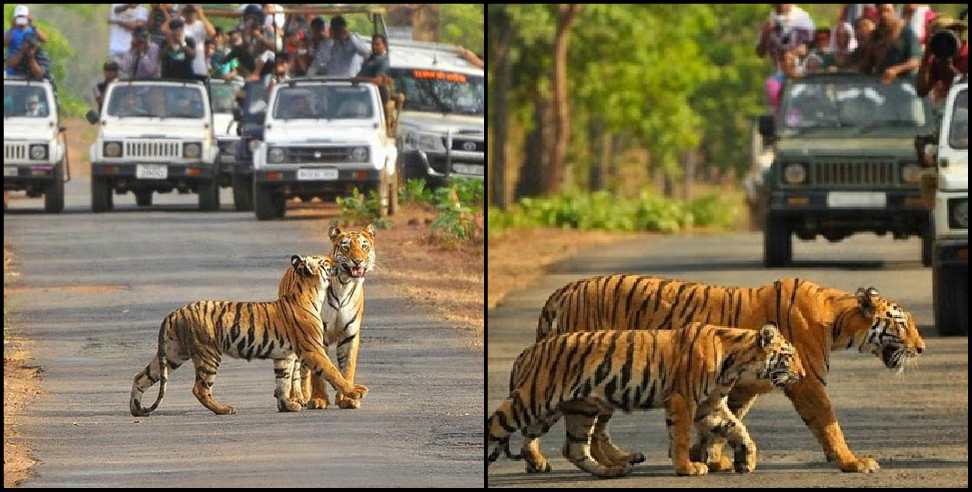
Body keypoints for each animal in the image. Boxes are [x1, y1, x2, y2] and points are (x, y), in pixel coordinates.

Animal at [129, 256, 368, 418]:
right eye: (325, 261)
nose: (336, 260)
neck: (311, 292)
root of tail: (174, 312)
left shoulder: (284, 356)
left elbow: (283, 381)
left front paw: (287, 406)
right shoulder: (313, 349)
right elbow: (333, 372)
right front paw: (355, 392)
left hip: (173, 354)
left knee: (141, 377)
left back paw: (136, 409)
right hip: (208, 353)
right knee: (200, 388)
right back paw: (224, 409)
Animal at [280, 225, 376, 410]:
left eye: (364, 246)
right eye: (346, 247)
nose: (358, 261)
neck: (344, 285)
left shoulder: (350, 334)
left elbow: (347, 367)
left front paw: (347, 399)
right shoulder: (318, 334)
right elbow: (319, 373)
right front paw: (319, 399)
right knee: (296, 369)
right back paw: (297, 398)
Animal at [486, 322, 804, 476]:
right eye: (789, 357)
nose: (802, 375)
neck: (736, 362)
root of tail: (527, 351)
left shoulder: (709, 405)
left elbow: (737, 428)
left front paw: (747, 459)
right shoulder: (683, 400)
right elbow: (680, 437)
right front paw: (688, 469)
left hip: (574, 409)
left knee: (572, 448)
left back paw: (612, 472)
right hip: (531, 401)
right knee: (494, 426)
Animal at [528, 276, 932, 472]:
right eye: (902, 324)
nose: (923, 348)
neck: (838, 320)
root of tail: (563, 290)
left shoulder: (739, 387)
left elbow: (724, 423)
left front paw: (710, 457)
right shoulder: (807, 383)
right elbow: (828, 423)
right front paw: (852, 462)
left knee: (593, 431)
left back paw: (617, 461)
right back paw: (544, 461)